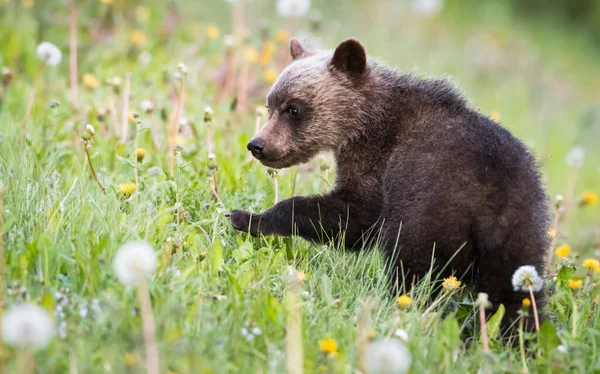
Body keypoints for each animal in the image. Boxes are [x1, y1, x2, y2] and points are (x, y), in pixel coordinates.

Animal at [227, 37, 552, 324]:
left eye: (293, 109)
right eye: (270, 104)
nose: (257, 145)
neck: (368, 121)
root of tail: (493, 197)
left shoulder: (379, 164)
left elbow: (354, 214)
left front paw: (246, 217)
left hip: (433, 209)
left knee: (413, 265)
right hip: (523, 231)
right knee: (515, 295)